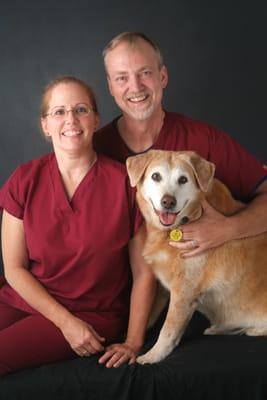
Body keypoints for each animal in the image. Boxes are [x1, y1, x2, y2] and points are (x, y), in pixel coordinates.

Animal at [126, 148, 267, 364]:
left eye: (183, 179)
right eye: (156, 176)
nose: (168, 202)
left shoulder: (183, 292)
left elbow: (167, 330)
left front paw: (152, 355)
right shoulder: (163, 287)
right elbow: (148, 314)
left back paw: (251, 329)